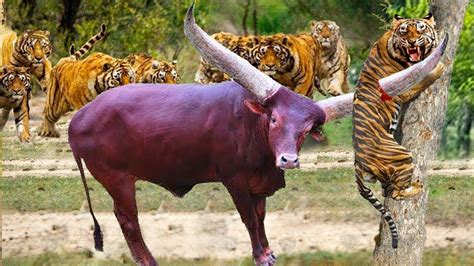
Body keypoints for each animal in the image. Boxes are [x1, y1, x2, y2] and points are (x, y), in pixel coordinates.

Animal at [354, 13, 446, 248]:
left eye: (420, 29)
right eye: (405, 32)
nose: (412, 42)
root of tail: (358, 166)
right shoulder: (404, 88)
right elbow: (426, 77)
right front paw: (439, 66)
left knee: (388, 191)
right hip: (403, 155)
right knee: (395, 193)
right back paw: (418, 186)